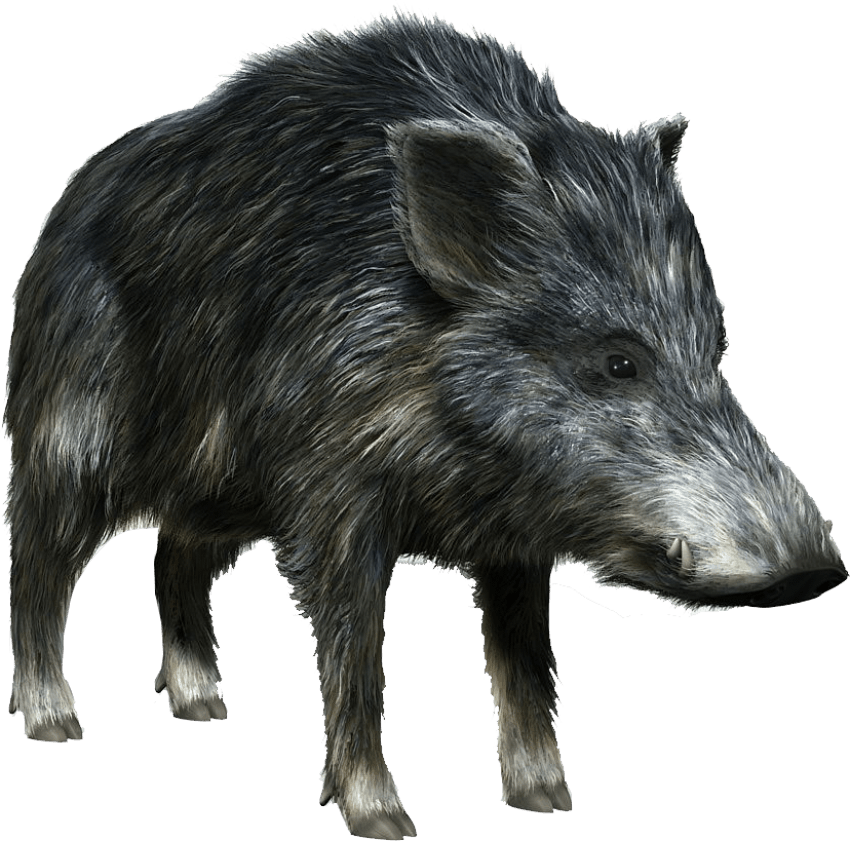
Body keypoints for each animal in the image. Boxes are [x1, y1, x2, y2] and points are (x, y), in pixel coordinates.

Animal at [4, 7, 845, 840]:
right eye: (617, 362)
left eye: (716, 345)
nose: (817, 569)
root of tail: (61, 212)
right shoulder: (333, 499)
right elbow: (358, 656)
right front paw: (385, 821)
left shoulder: (514, 540)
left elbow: (525, 658)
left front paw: (547, 800)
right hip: (69, 436)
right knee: (39, 560)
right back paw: (56, 724)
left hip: (220, 491)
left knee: (171, 556)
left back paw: (206, 708)